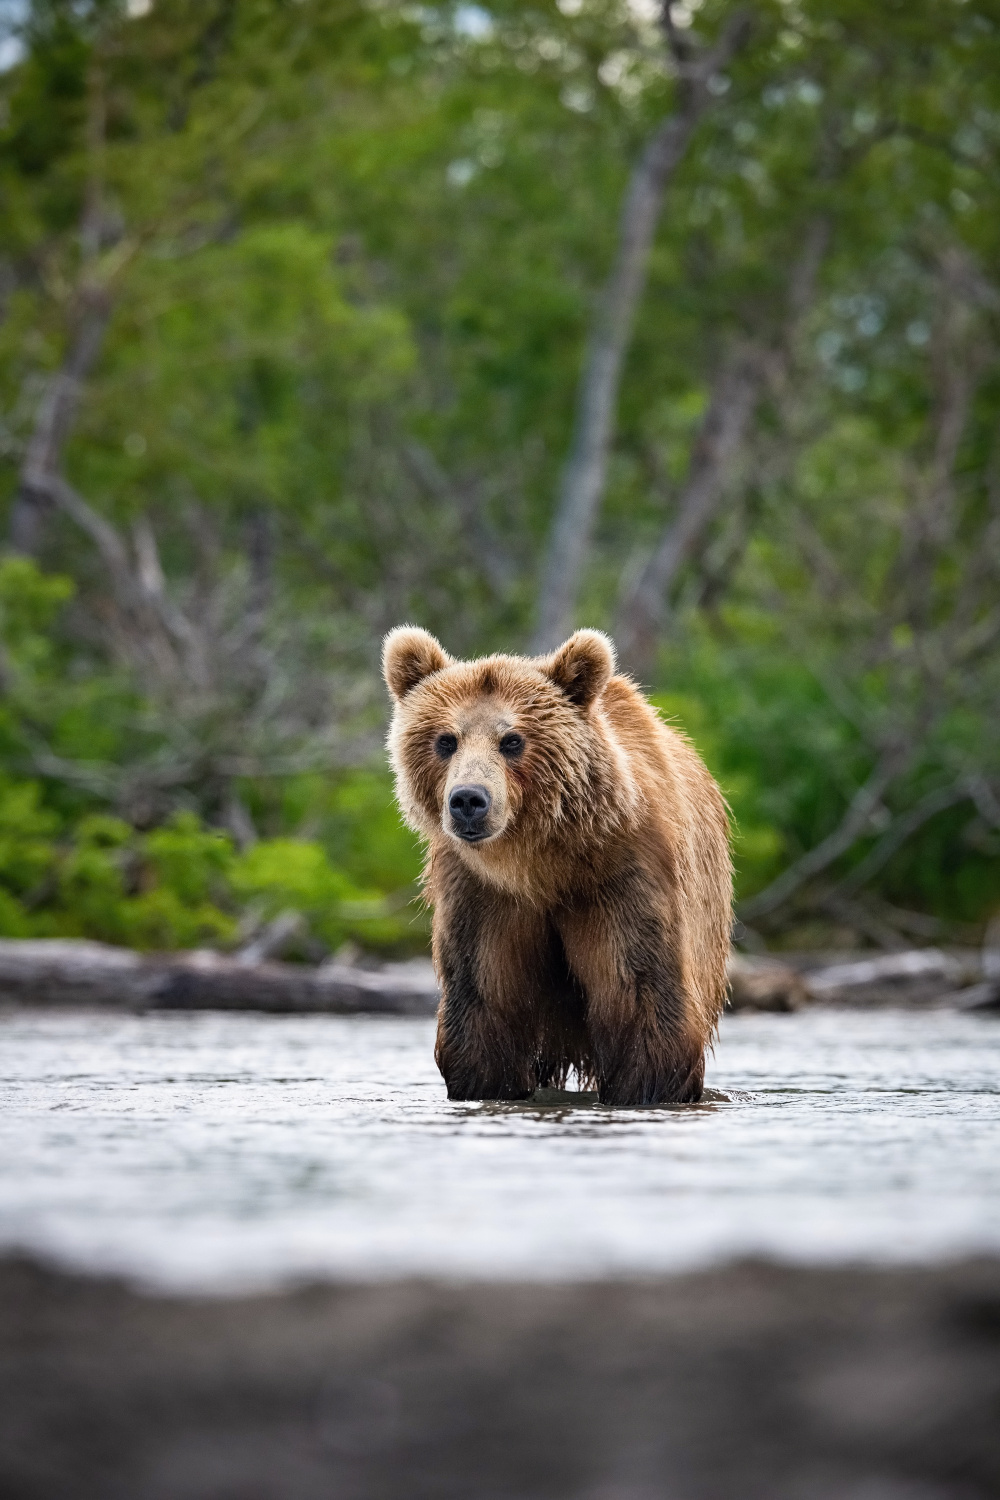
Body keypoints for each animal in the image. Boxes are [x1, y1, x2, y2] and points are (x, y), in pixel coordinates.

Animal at [383, 627, 734, 1110]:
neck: (542, 864)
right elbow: (483, 999)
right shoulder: (482, 897)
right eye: (446, 740)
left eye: (512, 740)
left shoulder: (623, 879)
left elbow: (639, 992)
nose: (469, 800)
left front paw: (647, 1088)